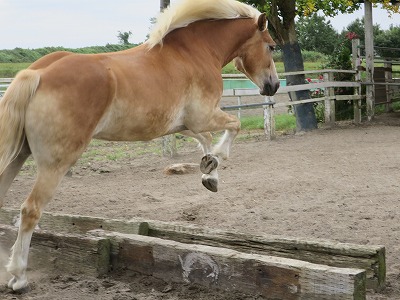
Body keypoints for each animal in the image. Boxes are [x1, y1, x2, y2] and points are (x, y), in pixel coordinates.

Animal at [0, 0, 280, 292]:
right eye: (271, 46)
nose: (273, 85)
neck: (194, 52)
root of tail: (36, 74)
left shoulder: (184, 124)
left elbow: (206, 140)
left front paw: (209, 173)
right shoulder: (203, 116)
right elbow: (234, 126)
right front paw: (214, 163)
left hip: (19, 154)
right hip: (56, 163)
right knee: (30, 210)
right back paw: (18, 277)